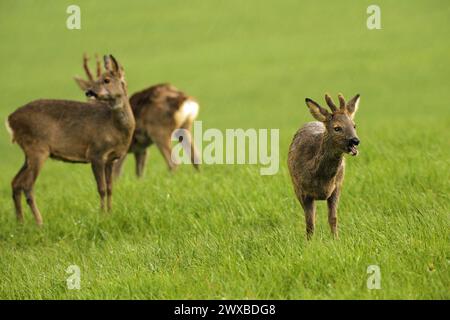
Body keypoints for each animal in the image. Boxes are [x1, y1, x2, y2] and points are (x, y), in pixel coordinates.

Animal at [6, 55, 134, 225]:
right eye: (98, 79)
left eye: (106, 80)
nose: (89, 91)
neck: (115, 128)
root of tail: (10, 119)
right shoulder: (96, 152)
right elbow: (101, 189)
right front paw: (102, 215)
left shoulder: (110, 159)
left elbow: (110, 188)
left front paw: (110, 213)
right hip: (37, 148)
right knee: (27, 185)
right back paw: (39, 223)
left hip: (28, 153)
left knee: (15, 182)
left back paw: (21, 222)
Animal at [290, 92, 360, 238]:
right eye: (337, 128)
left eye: (354, 125)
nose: (355, 141)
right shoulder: (302, 191)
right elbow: (310, 223)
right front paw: (309, 242)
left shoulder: (337, 187)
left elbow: (333, 218)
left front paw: (336, 239)